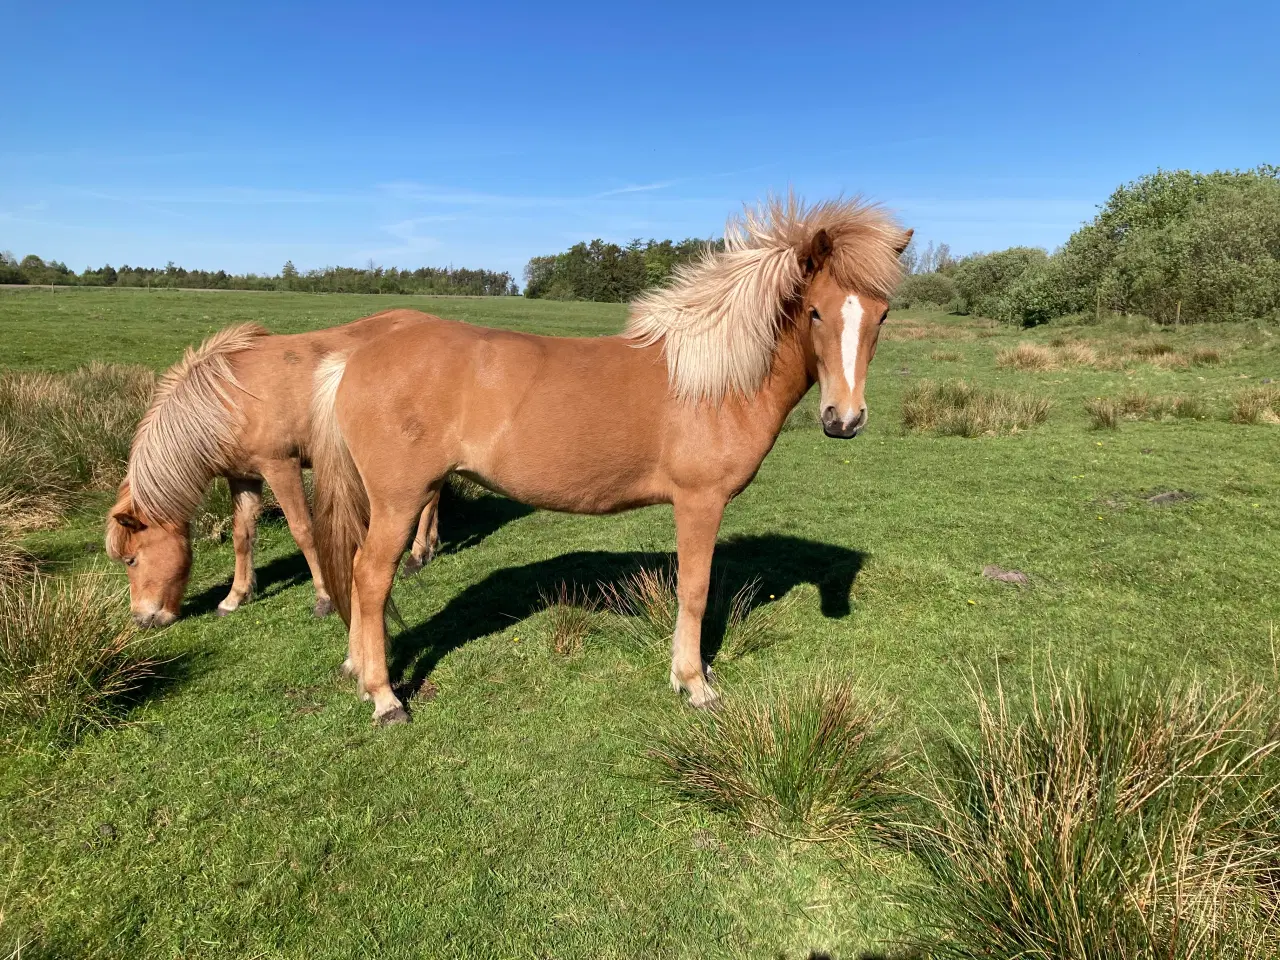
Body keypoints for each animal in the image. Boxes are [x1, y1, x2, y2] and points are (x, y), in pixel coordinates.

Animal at [101, 312, 440, 632]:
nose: (142, 620)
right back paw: (429, 546)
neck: (228, 401)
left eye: (131, 559)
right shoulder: (243, 477)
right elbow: (242, 535)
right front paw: (235, 596)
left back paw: (416, 555)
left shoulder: (280, 466)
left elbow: (303, 530)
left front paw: (323, 598)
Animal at [309, 199, 911, 727]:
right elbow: (695, 590)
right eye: (814, 311)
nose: (843, 420)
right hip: (399, 501)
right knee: (370, 577)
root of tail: (355, 356)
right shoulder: (699, 502)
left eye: (881, 316)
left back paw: (358, 669)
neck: (714, 381)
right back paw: (384, 697)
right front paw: (694, 683)